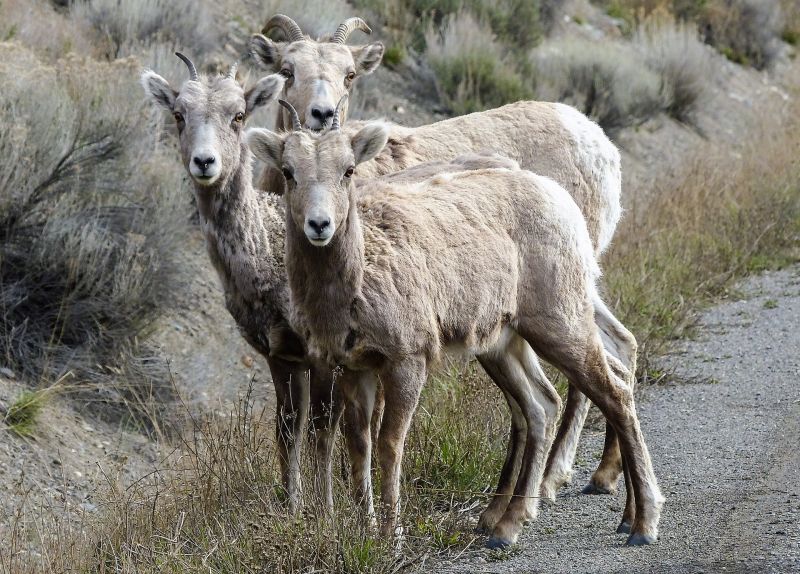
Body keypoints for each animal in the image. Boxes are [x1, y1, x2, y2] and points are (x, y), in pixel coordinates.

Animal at [245, 104, 664, 548]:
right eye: (289, 171)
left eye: (348, 170)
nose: (319, 224)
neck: (356, 281)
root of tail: (560, 199)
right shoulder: (355, 368)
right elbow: (358, 444)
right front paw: (365, 530)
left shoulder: (407, 361)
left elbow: (389, 444)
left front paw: (391, 535)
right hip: (502, 345)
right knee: (541, 405)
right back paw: (507, 527)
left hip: (560, 324)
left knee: (614, 395)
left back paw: (641, 524)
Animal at [250, 14, 636, 500]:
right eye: (287, 70)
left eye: (349, 75)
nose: (323, 116)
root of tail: (599, 142)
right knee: (620, 347)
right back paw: (600, 474)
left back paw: (551, 480)